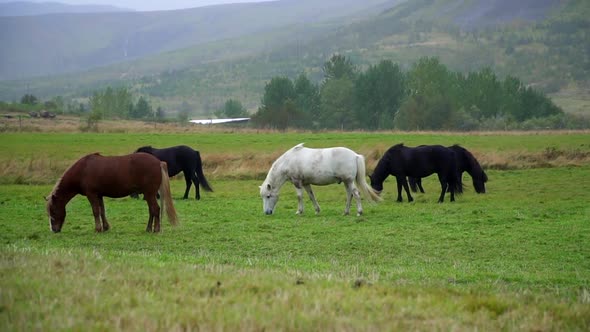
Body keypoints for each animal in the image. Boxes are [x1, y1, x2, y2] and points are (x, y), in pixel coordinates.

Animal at [46, 152, 178, 232]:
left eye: (53, 211)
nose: (54, 230)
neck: (83, 170)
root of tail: (158, 162)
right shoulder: (99, 195)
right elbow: (102, 211)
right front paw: (105, 227)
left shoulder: (91, 194)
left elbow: (95, 211)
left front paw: (98, 229)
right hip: (149, 194)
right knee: (152, 210)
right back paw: (148, 228)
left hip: (149, 194)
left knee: (155, 209)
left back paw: (156, 229)